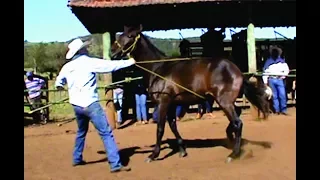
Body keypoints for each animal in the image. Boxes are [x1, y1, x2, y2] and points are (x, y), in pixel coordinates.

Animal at [111, 24, 268, 164]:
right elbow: (173, 125)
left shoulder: (163, 102)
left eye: (130, 36)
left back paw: (233, 154)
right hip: (227, 102)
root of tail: (238, 71)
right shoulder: (172, 104)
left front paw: (153, 155)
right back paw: (230, 137)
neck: (158, 69)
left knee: (238, 123)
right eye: (122, 34)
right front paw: (182, 150)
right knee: (237, 116)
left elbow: (160, 128)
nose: (113, 51)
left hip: (224, 101)